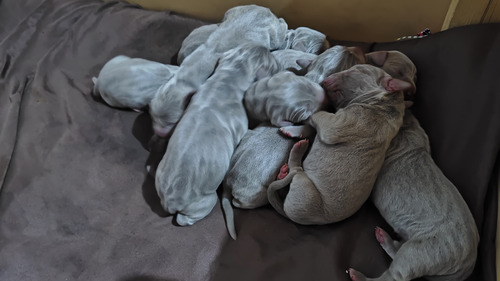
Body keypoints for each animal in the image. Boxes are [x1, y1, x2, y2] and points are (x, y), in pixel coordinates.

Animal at [148, 3, 288, 136]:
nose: (159, 134)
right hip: (233, 11)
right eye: (153, 117)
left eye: (172, 122)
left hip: (274, 33)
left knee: (281, 28)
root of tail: (263, 8)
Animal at [268, 64, 412, 224]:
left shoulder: (336, 125)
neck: (385, 104)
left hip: (305, 191)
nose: (325, 81)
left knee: (296, 170)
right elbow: (312, 126)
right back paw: (283, 172)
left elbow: (316, 114)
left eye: (356, 70)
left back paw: (298, 151)